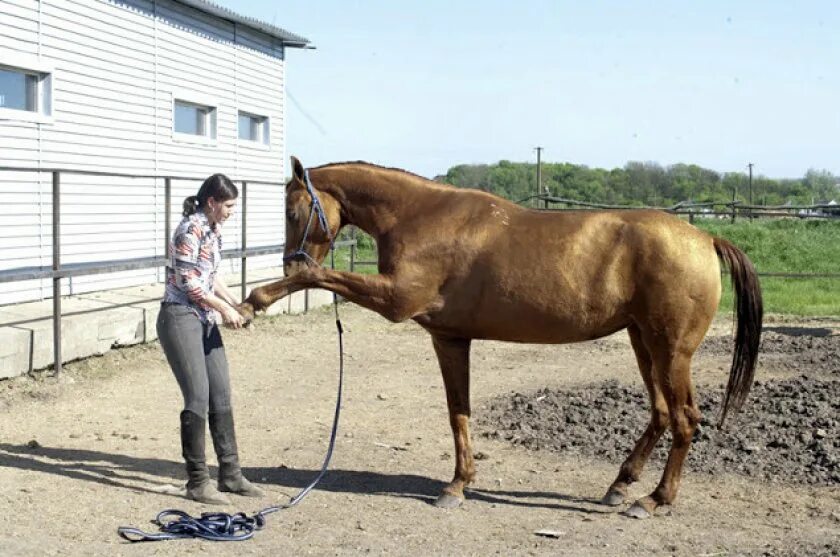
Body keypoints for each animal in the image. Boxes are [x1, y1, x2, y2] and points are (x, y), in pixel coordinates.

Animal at [240, 155, 764, 516]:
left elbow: (323, 277)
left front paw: (254, 300)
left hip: (671, 351)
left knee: (685, 419)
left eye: (293, 211)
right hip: (643, 343)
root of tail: (705, 238)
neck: (423, 216)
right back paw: (621, 485)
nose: (288, 262)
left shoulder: (395, 300)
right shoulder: (449, 337)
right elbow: (459, 412)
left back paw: (654, 499)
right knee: (661, 414)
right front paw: (458, 484)